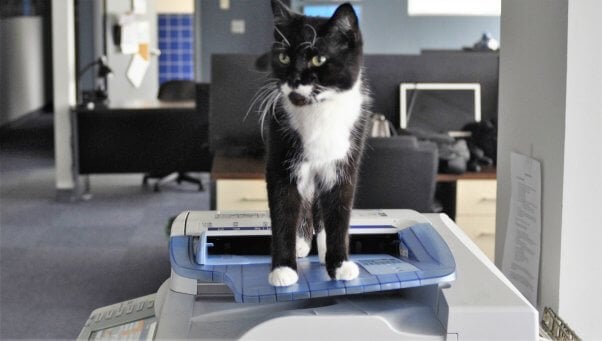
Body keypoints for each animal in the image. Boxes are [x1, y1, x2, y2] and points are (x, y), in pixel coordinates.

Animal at [256, 0, 368, 286]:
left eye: (318, 59)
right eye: (283, 57)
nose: (294, 79)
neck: (317, 110)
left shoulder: (344, 162)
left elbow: (339, 211)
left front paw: (339, 264)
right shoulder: (281, 155)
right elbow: (283, 210)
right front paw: (283, 268)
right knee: (306, 201)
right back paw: (302, 243)